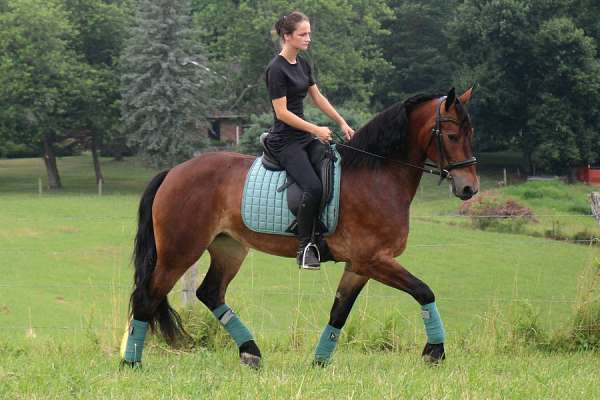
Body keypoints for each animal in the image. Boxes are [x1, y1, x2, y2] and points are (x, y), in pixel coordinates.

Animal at [120, 86, 478, 368]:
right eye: (451, 136)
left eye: (470, 134)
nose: (469, 189)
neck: (376, 175)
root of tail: (174, 171)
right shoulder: (375, 260)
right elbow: (423, 290)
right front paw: (434, 351)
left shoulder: (359, 266)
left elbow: (339, 312)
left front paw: (319, 362)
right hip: (179, 252)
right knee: (147, 297)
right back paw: (131, 361)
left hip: (228, 248)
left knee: (209, 292)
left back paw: (250, 352)